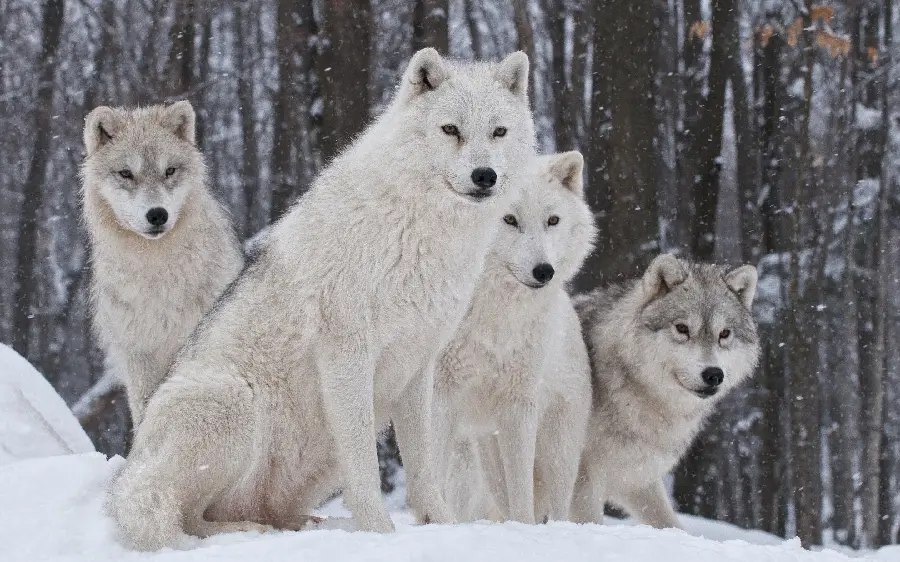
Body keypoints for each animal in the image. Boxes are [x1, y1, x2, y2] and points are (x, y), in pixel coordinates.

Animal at [110, 48, 536, 548]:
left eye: (498, 131)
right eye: (450, 130)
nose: (484, 176)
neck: (419, 231)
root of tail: (130, 470)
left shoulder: (418, 364)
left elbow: (424, 464)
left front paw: (442, 526)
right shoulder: (347, 355)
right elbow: (365, 465)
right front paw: (379, 532)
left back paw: (301, 524)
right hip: (233, 401)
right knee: (186, 516)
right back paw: (246, 530)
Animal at [436, 151, 596, 524]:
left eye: (553, 220)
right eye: (508, 219)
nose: (544, 271)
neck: (493, 314)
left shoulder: (519, 404)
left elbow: (522, 493)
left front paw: (522, 529)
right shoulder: (440, 394)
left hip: (557, 452)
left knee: (555, 506)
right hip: (480, 455)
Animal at [568, 256, 760, 528]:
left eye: (724, 334)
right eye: (682, 328)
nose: (714, 374)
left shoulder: (637, 479)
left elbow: (670, 524)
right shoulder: (582, 479)